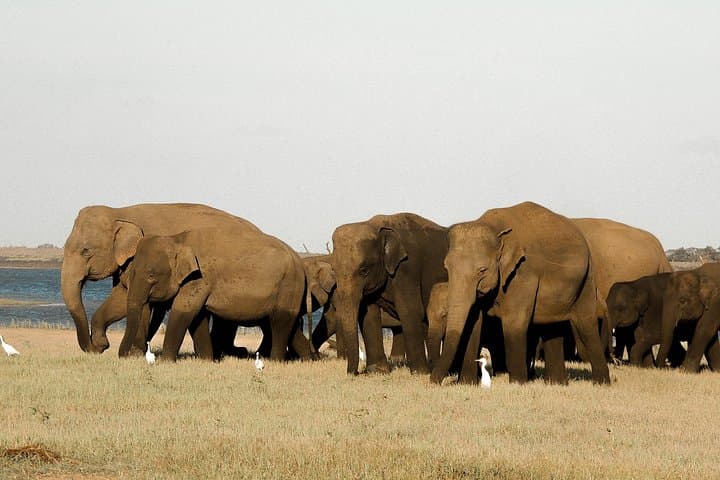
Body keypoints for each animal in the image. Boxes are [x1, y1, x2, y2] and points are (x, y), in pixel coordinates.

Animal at [61, 203, 258, 353]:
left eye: (86, 251)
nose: (95, 347)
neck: (119, 212)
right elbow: (121, 298)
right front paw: (104, 343)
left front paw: (134, 353)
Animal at [119, 225, 312, 362]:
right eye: (131, 272)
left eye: (151, 275)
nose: (124, 356)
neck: (177, 239)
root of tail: (299, 261)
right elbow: (198, 317)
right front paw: (206, 360)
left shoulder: (199, 278)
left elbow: (183, 311)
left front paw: (166, 361)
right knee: (289, 324)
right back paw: (308, 359)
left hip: (289, 285)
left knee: (280, 322)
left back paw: (275, 361)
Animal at [331, 213, 449, 375]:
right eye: (333, 270)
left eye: (364, 270)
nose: (355, 373)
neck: (376, 226)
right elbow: (369, 314)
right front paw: (377, 371)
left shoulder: (407, 269)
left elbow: (410, 310)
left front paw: (419, 373)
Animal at [430, 201, 610, 385]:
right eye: (447, 268)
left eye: (482, 270)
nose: (432, 382)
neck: (496, 229)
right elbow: (473, 322)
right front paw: (467, 383)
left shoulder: (523, 272)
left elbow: (514, 322)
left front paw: (517, 384)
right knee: (552, 327)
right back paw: (557, 383)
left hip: (587, 279)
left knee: (586, 325)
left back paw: (601, 383)